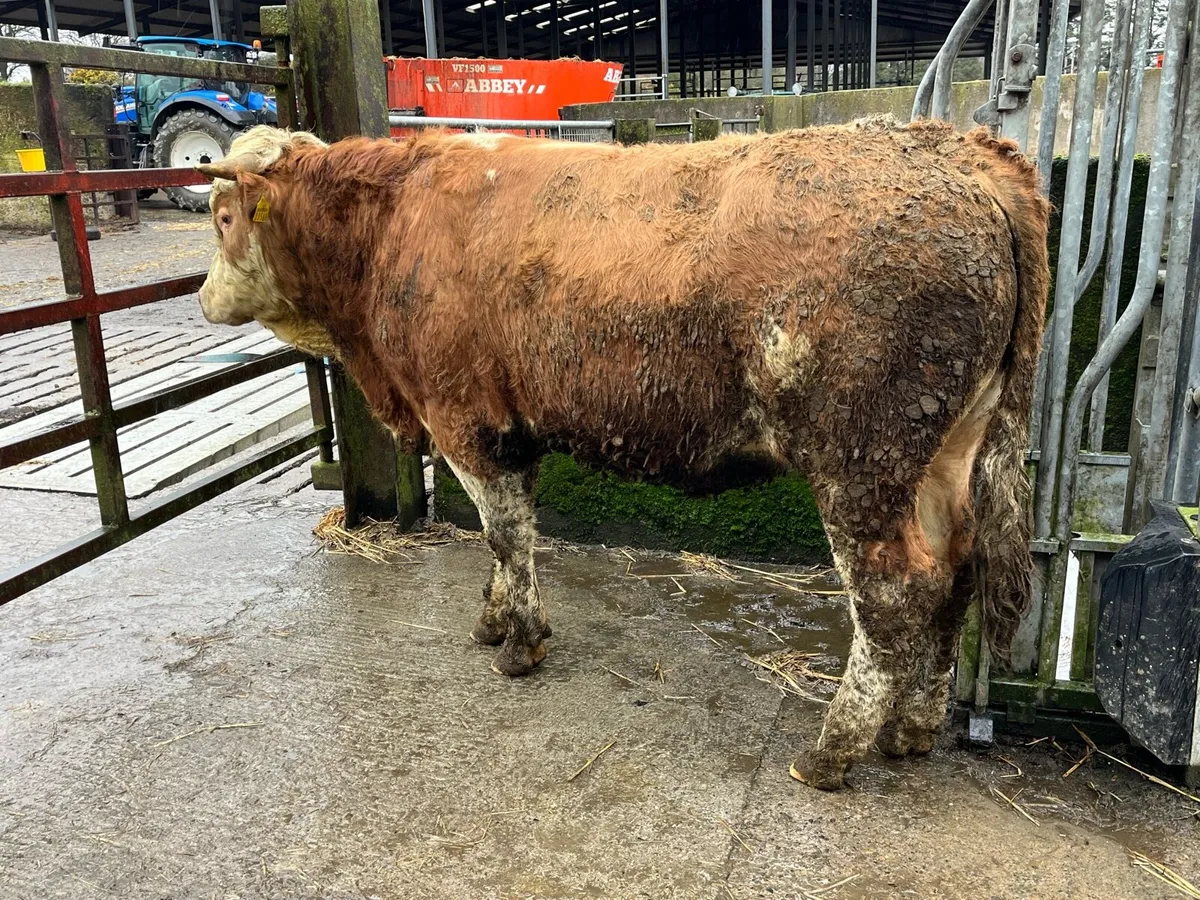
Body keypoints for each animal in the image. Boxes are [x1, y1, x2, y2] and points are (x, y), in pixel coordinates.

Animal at [196, 118, 1049, 790]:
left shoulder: (465, 418)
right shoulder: (510, 428)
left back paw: (832, 750)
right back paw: (911, 729)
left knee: (895, 590)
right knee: (956, 569)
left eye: (223, 213)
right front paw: (497, 618)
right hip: (945, 451)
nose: (202, 298)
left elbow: (504, 534)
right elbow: (508, 539)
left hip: (861, 458)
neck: (395, 220)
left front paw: (519, 643)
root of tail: (959, 149)